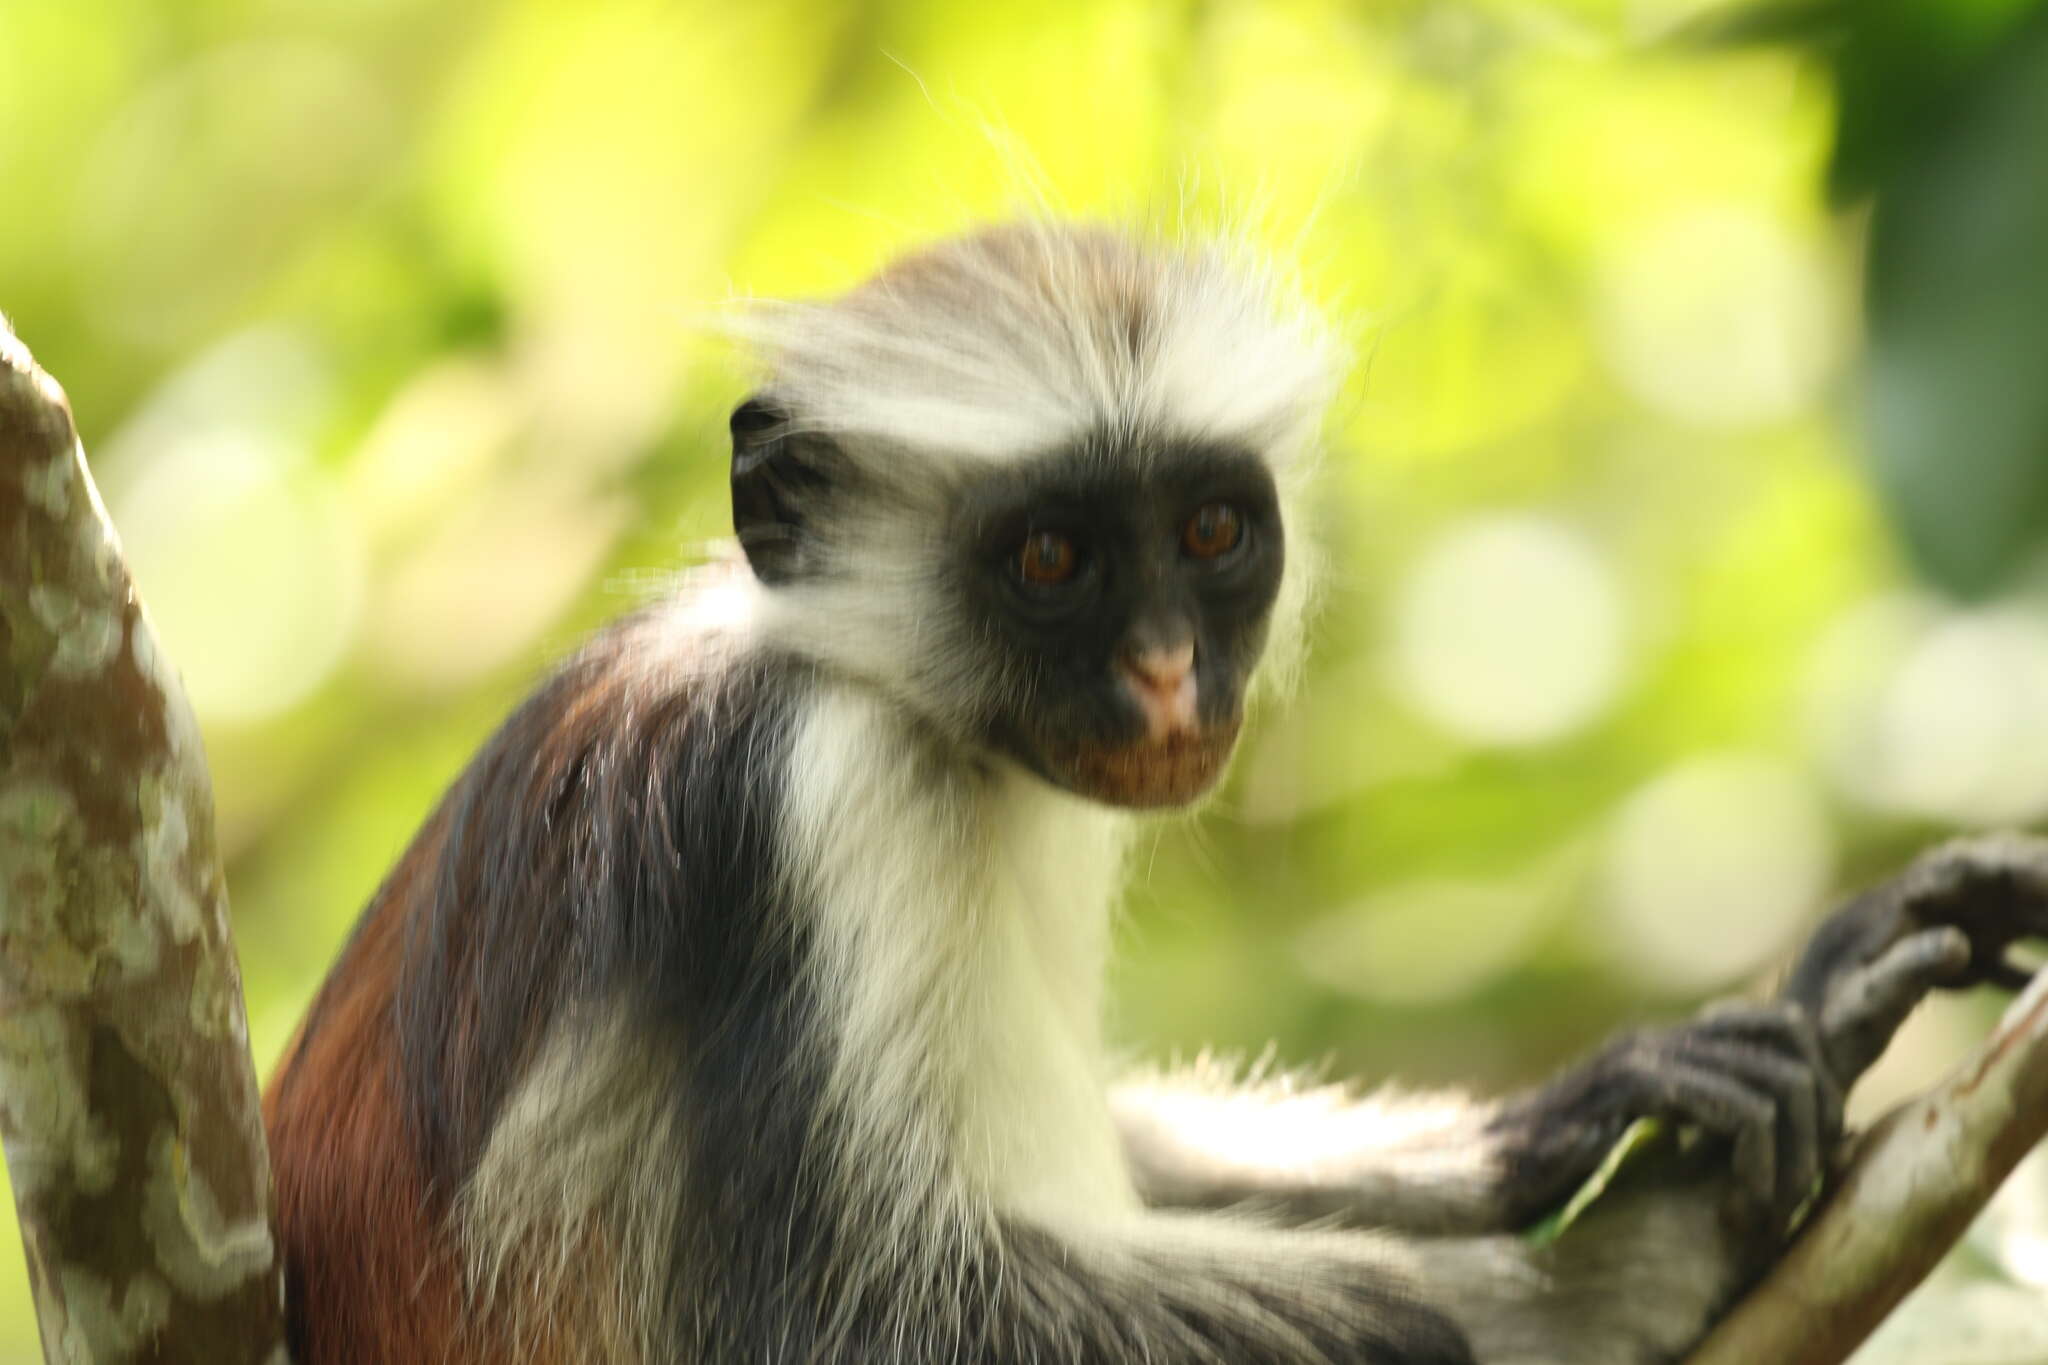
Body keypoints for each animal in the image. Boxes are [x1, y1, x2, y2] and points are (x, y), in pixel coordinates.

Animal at [268, 227, 2048, 1365]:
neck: (902, 705)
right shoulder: (808, 814)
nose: (1170, 677)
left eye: (1209, 532)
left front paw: (1586, 1112)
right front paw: (1552, 1285)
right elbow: (853, 1325)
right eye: (1053, 558)